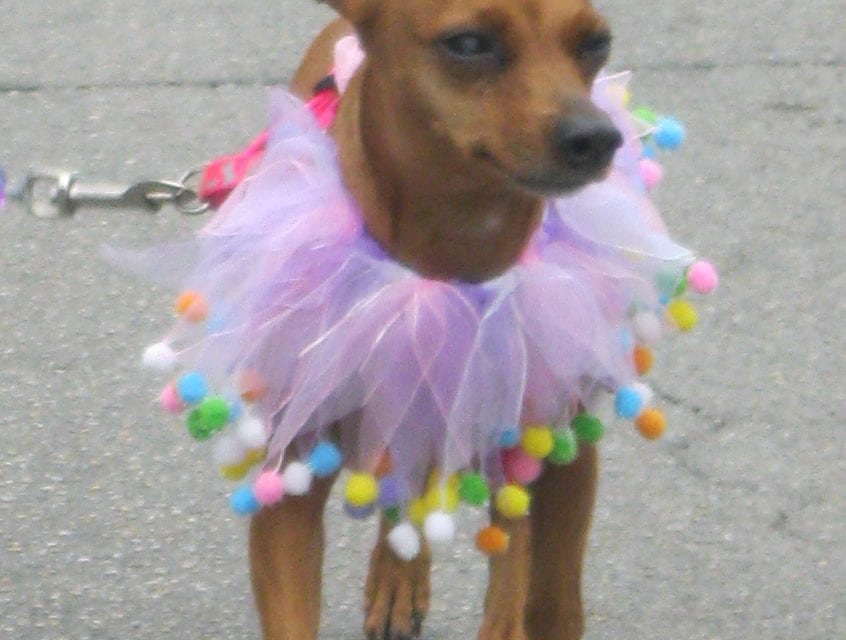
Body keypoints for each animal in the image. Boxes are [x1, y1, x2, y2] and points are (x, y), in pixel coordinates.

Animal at [248, 0, 620, 636]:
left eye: (597, 43)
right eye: (467, 43)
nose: (596, 137)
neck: (446, 262)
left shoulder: (548, 463)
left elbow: (536, 593)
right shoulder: (288, 487)